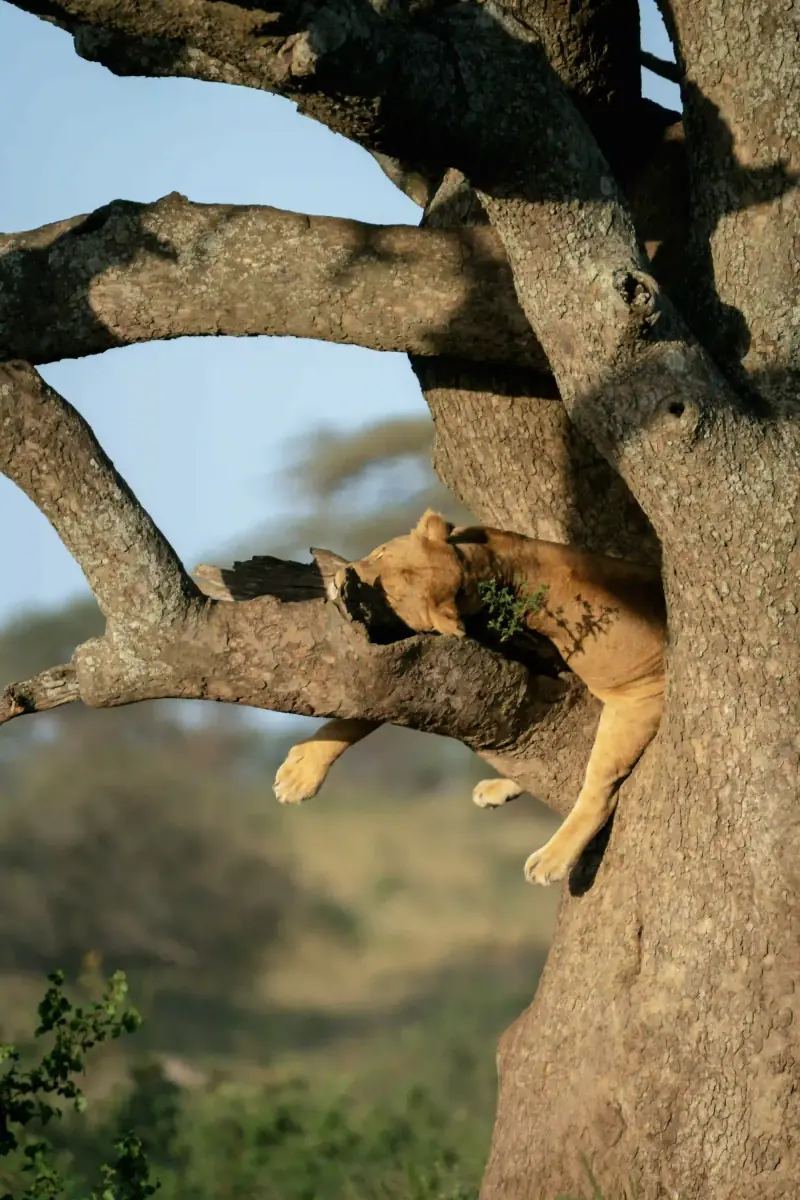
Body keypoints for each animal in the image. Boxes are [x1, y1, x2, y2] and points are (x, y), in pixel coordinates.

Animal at [274, 510, 666, 886]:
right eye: (379, 553)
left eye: (388, 595)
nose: (343, 579)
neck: (478, 569)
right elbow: (368, 708)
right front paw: (302, 771)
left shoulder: (641, 690)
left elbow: (599, 781)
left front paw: (297, 774)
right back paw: (496, 788)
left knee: (598, 780)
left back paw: (551, 857)